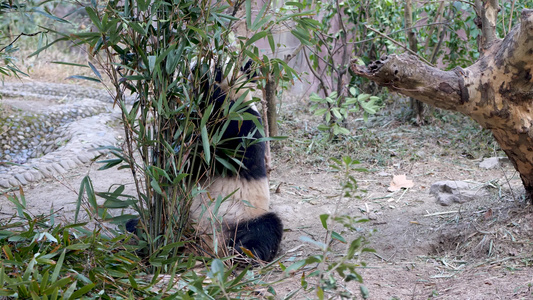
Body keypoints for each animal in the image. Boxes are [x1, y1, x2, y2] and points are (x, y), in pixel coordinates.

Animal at [127, 56, 282, 262]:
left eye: (219, 67)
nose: (195, 69)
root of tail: (205, 246)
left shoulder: (243, 122)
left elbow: (216, 157)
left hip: (244, 215)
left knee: (265, 229)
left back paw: (245, 253)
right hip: (172, 215)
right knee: (143, 223)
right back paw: (140, 234)